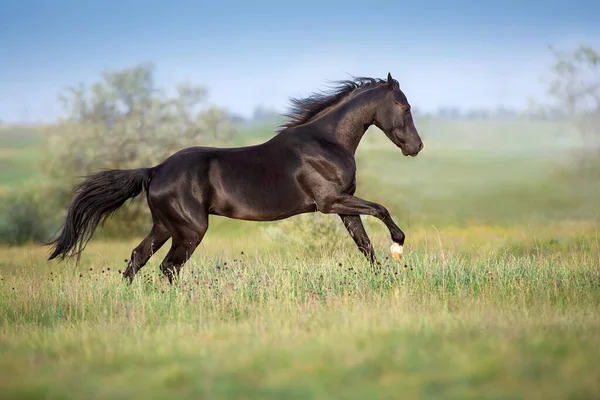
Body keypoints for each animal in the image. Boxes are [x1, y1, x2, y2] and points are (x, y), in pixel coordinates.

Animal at [47, 72, 424, 284]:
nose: (416, 147)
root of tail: (154, 171)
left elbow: (364, 245)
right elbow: (381, 210)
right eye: (405, 107)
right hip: (190, 230)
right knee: (168, 267)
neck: (326, 141)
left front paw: (382, 278)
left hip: (165, 226)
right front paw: (398, 247)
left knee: (139, 259)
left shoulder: (343, 206)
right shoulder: (331, 202)